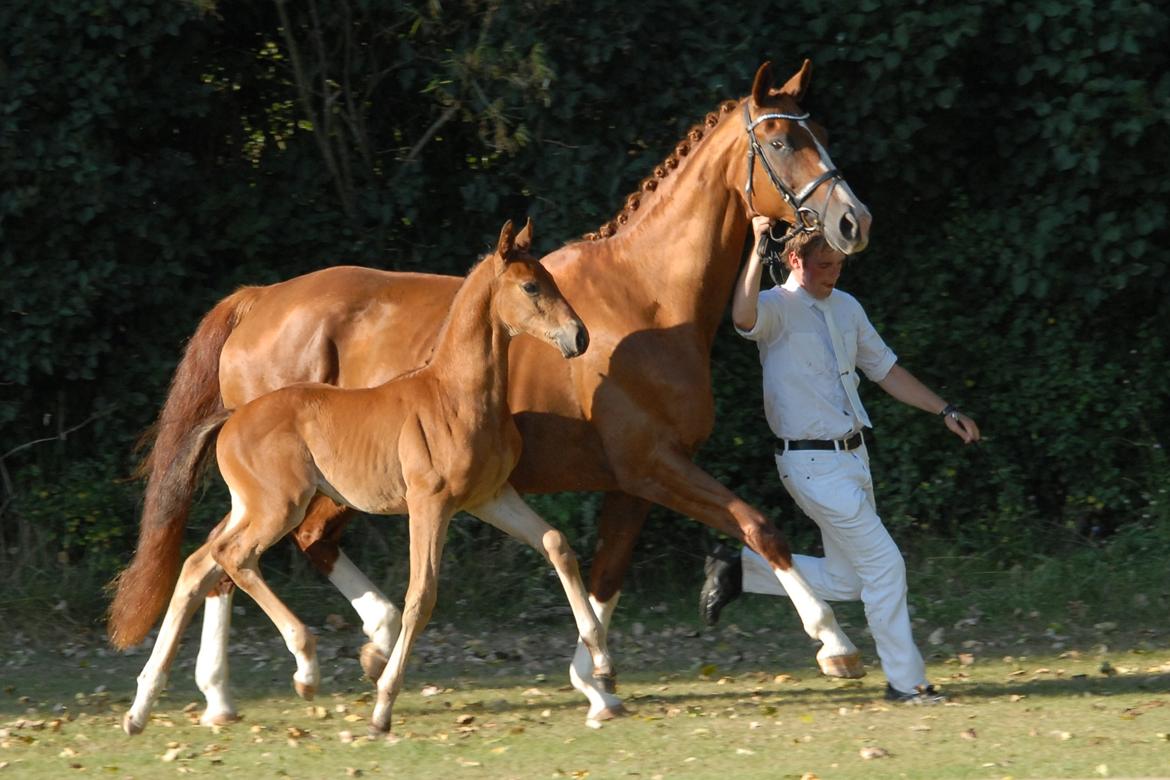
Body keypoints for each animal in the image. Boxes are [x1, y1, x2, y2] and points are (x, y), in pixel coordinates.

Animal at [122, 221, 608, 739]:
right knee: (233, 556)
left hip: (251, 506)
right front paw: (382, 707)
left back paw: (143, 706)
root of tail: (231, 419)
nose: (579, 336)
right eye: (531, 286)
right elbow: (421, 595)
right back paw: (305, 669)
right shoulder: (429, 504)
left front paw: (600, 660)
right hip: (279, 507)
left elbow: (556, 543)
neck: (455, 394)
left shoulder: (490, 497)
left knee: (199, 563)